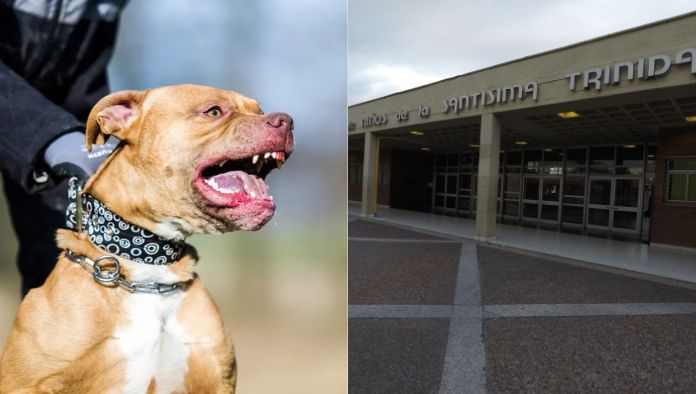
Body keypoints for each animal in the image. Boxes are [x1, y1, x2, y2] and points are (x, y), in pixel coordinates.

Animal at [0, 84, 294, 392]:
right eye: (213, 111)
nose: (285, 121)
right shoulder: (28, 383)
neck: (149, 269)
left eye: (259, 110)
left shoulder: (216, 378)